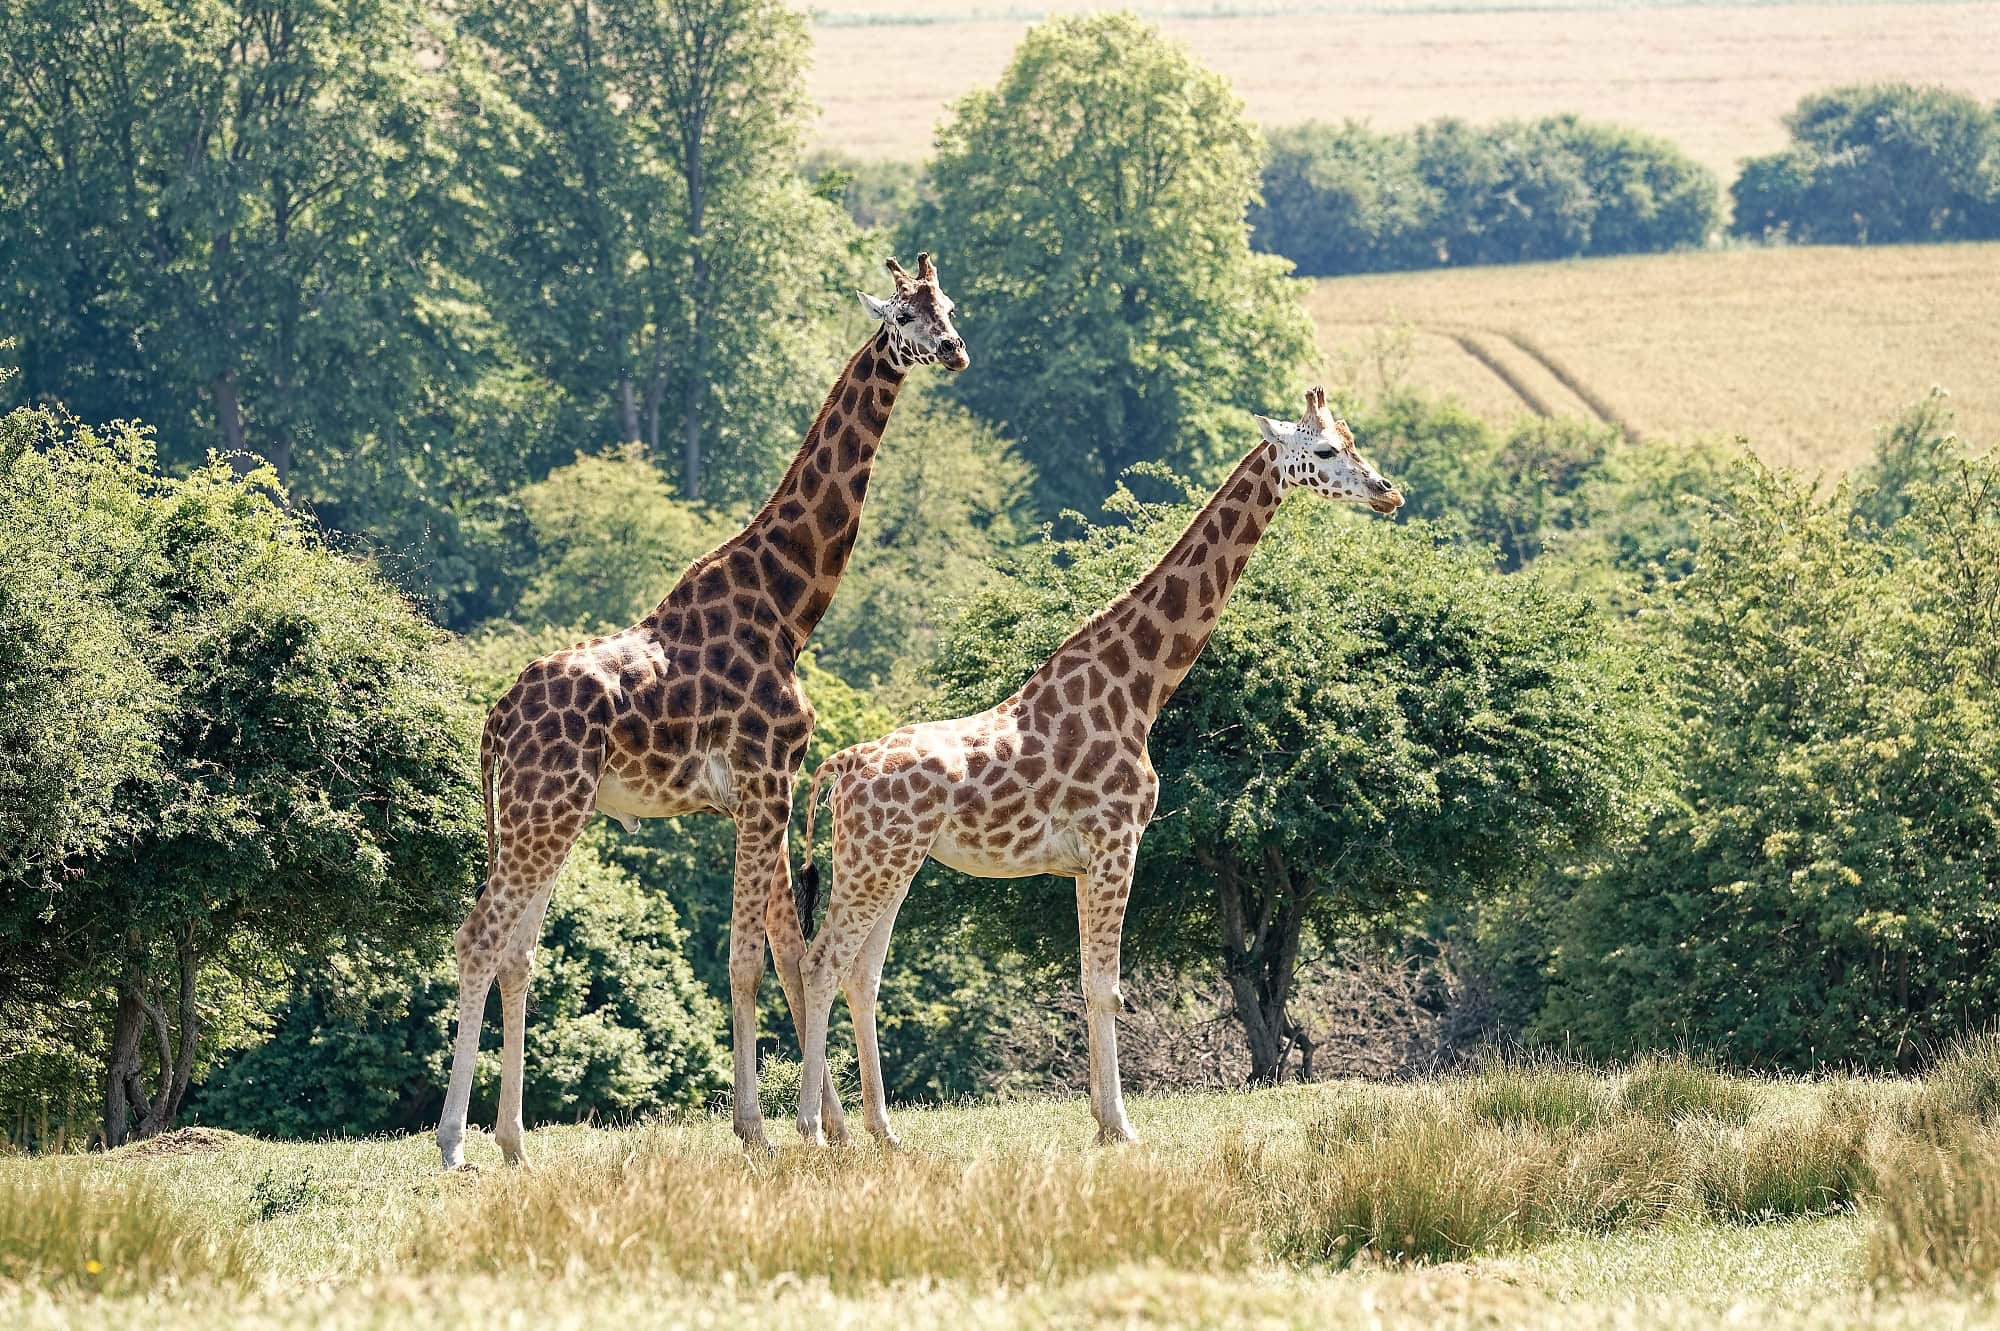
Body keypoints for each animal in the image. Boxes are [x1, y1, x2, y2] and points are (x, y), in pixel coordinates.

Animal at [435, 254, 968, 1169]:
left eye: (949, 305)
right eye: (903, 314)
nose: (955, 350)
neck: (790, 605)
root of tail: (495, 719)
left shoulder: (763, 794)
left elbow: (787, 950)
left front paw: (824, 1126)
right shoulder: (766, 783)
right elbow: (751, 961)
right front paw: (759, 1128)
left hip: (550, 814)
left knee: (516, 950)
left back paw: (512, 1142)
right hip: (546, 810)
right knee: (480, 937)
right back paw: (451, 1144)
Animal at [783, 387, 1401, 1148]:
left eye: (1353, 439)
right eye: (1324, 450)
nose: (1388, 491)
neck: (1140, 690)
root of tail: (840, 767)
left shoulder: (1084, 861)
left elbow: (1087, 983)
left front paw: (1103, 1119)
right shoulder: (1116, 841)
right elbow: (1107, 986)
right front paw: (1122, 1127)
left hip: (890, 861)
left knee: (860, 973)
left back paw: (883, 1131)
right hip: (877, 860)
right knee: (821, 963)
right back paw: (814, 1130)